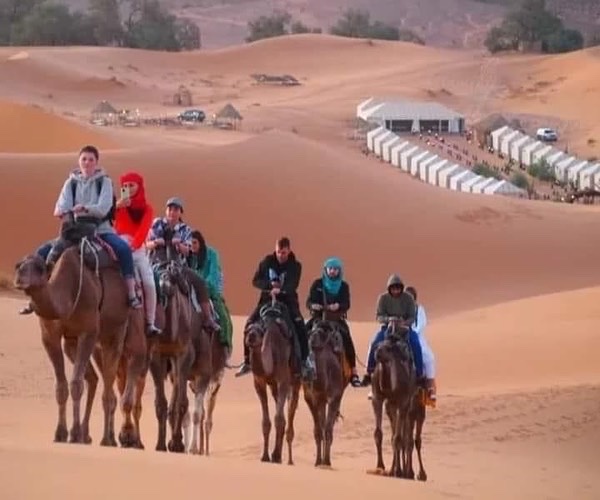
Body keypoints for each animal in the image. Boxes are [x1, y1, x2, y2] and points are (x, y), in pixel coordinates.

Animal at [13, 215, 145, 446]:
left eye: (39, 268)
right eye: (19, 265)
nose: (19, 277)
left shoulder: (88, 332)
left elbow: (76, 384)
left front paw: (74, 434)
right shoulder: (50, 336)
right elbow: (61, 387)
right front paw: (60, 433)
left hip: (118, 330)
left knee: (113, 381)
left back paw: (108, 438)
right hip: (80, 341)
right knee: (97, 379)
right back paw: (98, 436)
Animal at [244, 296, 300, 464]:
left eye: (260, 331)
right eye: (248, 329)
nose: (250, 337)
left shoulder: (283, 381)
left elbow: (279, 419)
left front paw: (275, 456)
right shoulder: (259, 382)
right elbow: (266, 422)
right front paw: (265, 456)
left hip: (296, 381)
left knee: (290, 411)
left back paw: (288, 459)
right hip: (274, 386)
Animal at [304, 320, 352, 468]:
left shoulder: (324, 397)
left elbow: (323, 429)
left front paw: (322, 461)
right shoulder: (319, 398)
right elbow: (321, 428)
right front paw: (319, 460)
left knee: (325, 426)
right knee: (325, 426)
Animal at [366, 316, 426, 480]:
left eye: (388, 348)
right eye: (378, 345)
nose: (377, 352)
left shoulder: (403, 401)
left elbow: (400, 438)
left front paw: (400, 471)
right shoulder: (379, 399)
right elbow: (380, 434)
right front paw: (381, 466)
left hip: (417, 407)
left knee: (414, 439)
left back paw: (418, 473)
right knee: (404, 437)